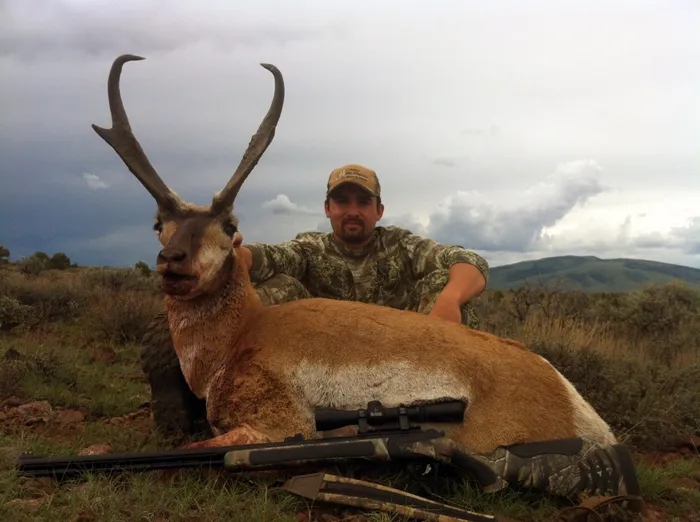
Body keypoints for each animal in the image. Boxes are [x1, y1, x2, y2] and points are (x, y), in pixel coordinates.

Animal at [91, 54, 640, 500]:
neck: (243, 334)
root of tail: (578, 409)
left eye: (230, 226)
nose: (173, 261)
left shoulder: (274, 428)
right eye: (158, 224)